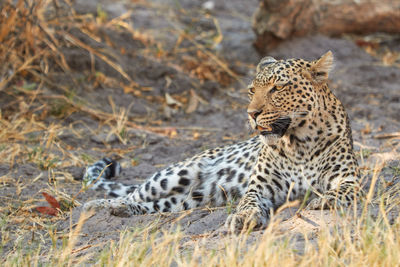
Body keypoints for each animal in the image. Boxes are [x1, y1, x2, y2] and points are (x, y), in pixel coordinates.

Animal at [83, 50, 360, 234]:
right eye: (252, 90)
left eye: (278, 88)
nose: (252, 113)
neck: (298, 142)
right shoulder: (260, 187)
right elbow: (248, 202)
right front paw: (242, 218)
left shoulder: (350, 178)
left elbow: (343, 190)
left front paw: (325, 200)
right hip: (176, 174)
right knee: (134, 193)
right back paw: (98, 205)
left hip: (193, 199)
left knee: (157, 205)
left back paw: (121, 210)